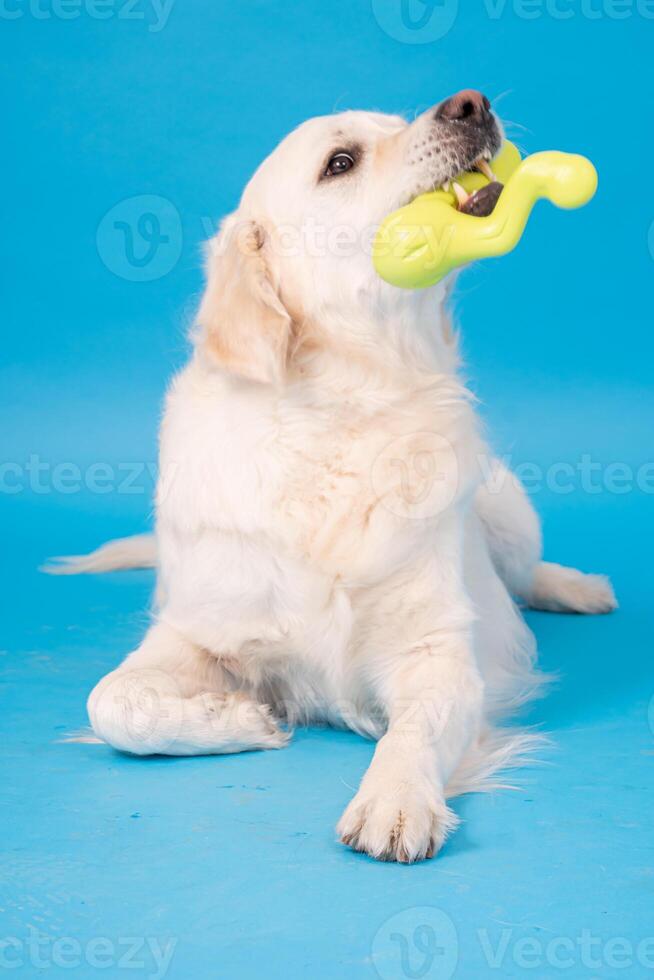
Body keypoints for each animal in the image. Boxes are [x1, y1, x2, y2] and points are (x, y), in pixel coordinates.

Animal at [51, 90, 616, 856]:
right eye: (340, 162)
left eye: (395, 123)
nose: (470, 103)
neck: (345, 411)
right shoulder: (192, 631)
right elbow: (111, 701)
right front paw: (242, 720)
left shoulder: (436, 651)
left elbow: (414, 730)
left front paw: (395, 799)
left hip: (509, 506)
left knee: (525, 576)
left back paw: (580, 587)